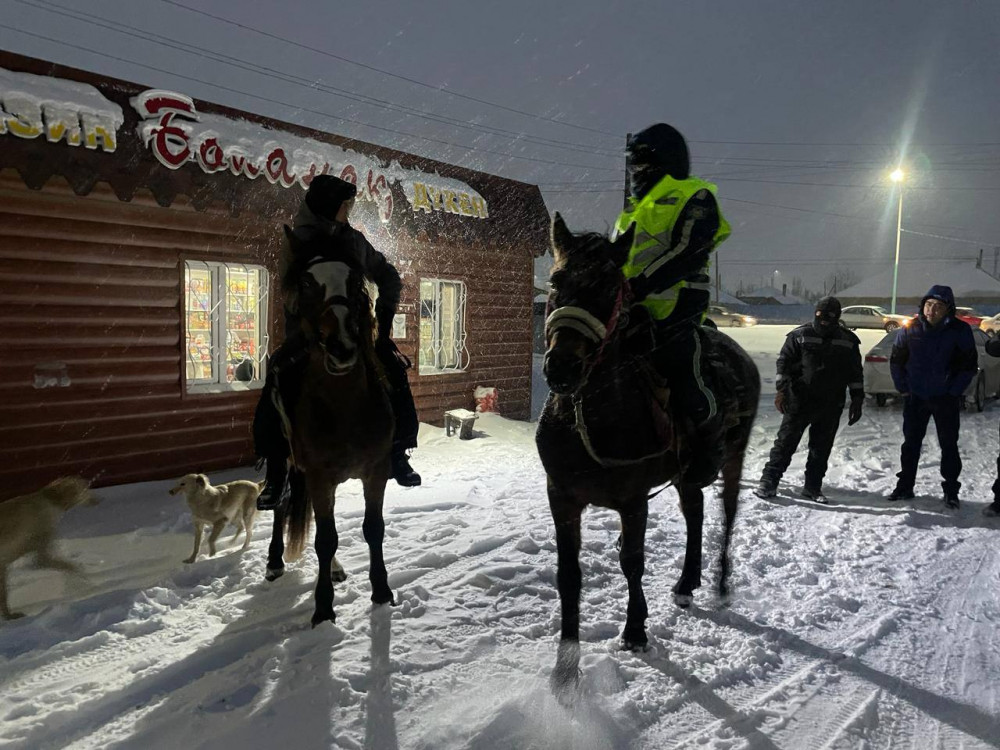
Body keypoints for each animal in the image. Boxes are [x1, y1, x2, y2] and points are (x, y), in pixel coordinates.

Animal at [268, 242, 396, 628]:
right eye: (307, 283)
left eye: (355, 282)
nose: (342, 346)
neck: (344, 406)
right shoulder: (319, 476)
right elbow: (325, 540)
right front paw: (323, 608)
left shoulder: (376, 471)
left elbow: (373, 528)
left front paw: (381, 590)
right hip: (286, 464)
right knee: (280, 505)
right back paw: (274, 562)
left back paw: (336, 569)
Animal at [540, 213, 756, 692]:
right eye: (556, 280)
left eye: (608, 288)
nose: (561, 366)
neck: (592, 415)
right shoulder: (562, 497)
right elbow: (569, 575)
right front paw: (565, 667)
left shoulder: (633, 500)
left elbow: (631, 563)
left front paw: (635, 631)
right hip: (684, 474)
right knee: (695, 510)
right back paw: (687, 581)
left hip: (733, 457)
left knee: (727, 511)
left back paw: (720, 582)